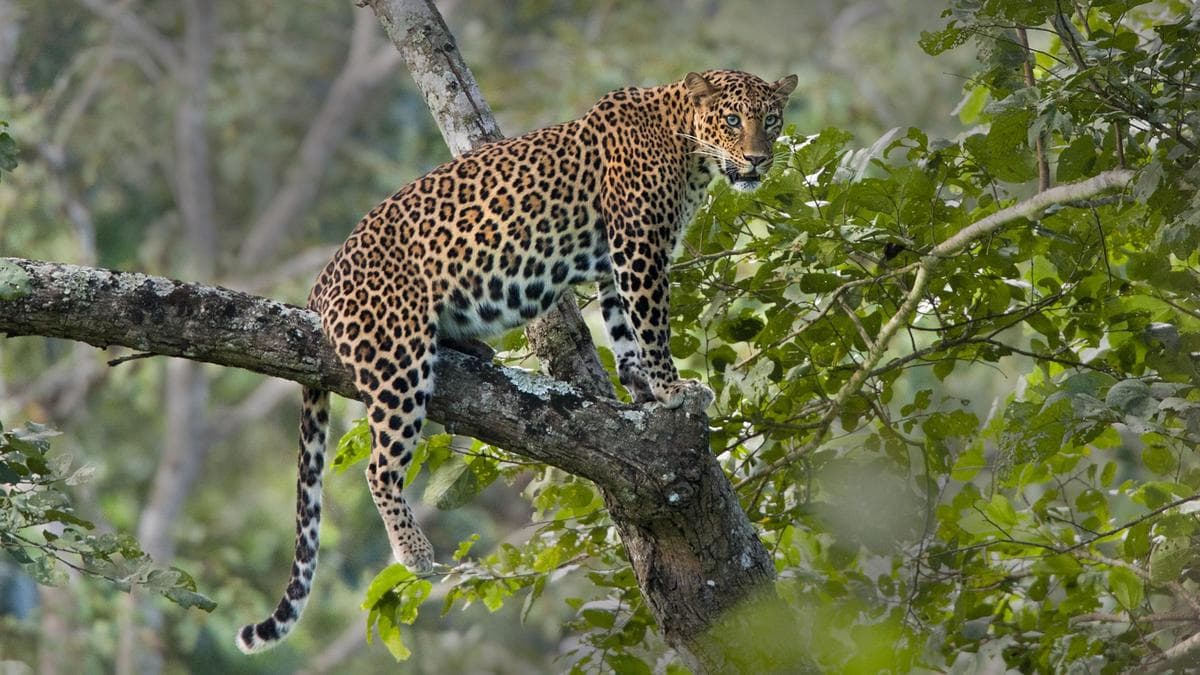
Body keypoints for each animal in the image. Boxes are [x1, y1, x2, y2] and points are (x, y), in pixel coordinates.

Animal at [235, 69, 797, 653]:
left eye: (771, 119)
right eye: (731, 120)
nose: (758, 160)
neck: (688, 147)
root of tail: (319, 288)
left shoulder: (614, 261)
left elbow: (625, 330)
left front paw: (642, 392)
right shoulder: (638, 247)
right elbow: (651, 325)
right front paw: (673, 390)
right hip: (396, 360)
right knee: (379, 465)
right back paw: (414, 551)